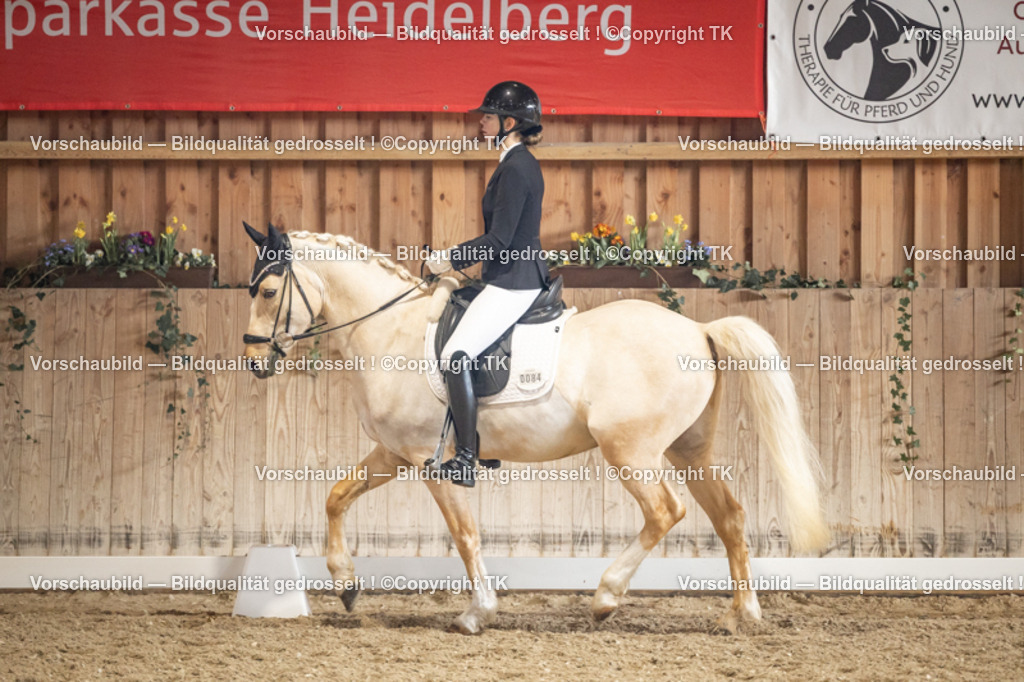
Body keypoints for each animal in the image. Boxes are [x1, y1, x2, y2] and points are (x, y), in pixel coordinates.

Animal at [240, 224, 830, 635]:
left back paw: (607, 597)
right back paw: (740, 615)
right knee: (730, 516)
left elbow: (465, 535)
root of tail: (701, 329)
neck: (389, 330)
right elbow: (336, 496)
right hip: (689, 450)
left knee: (666, 511)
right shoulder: (394, 452)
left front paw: (477, 613)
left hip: (630, 450)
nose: (253, 363)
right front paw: (345, 584)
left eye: (268, 292)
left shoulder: (430, 462)